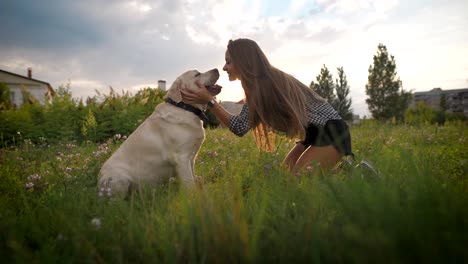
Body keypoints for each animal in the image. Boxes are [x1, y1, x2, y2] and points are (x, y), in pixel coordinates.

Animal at [98, 69, 221, 197]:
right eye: (197, 74)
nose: (217, 69)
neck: (184, 107)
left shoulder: (191, 158)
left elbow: (193, 178)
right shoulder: (181, 158)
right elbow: (189, 184)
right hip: (118, 178)